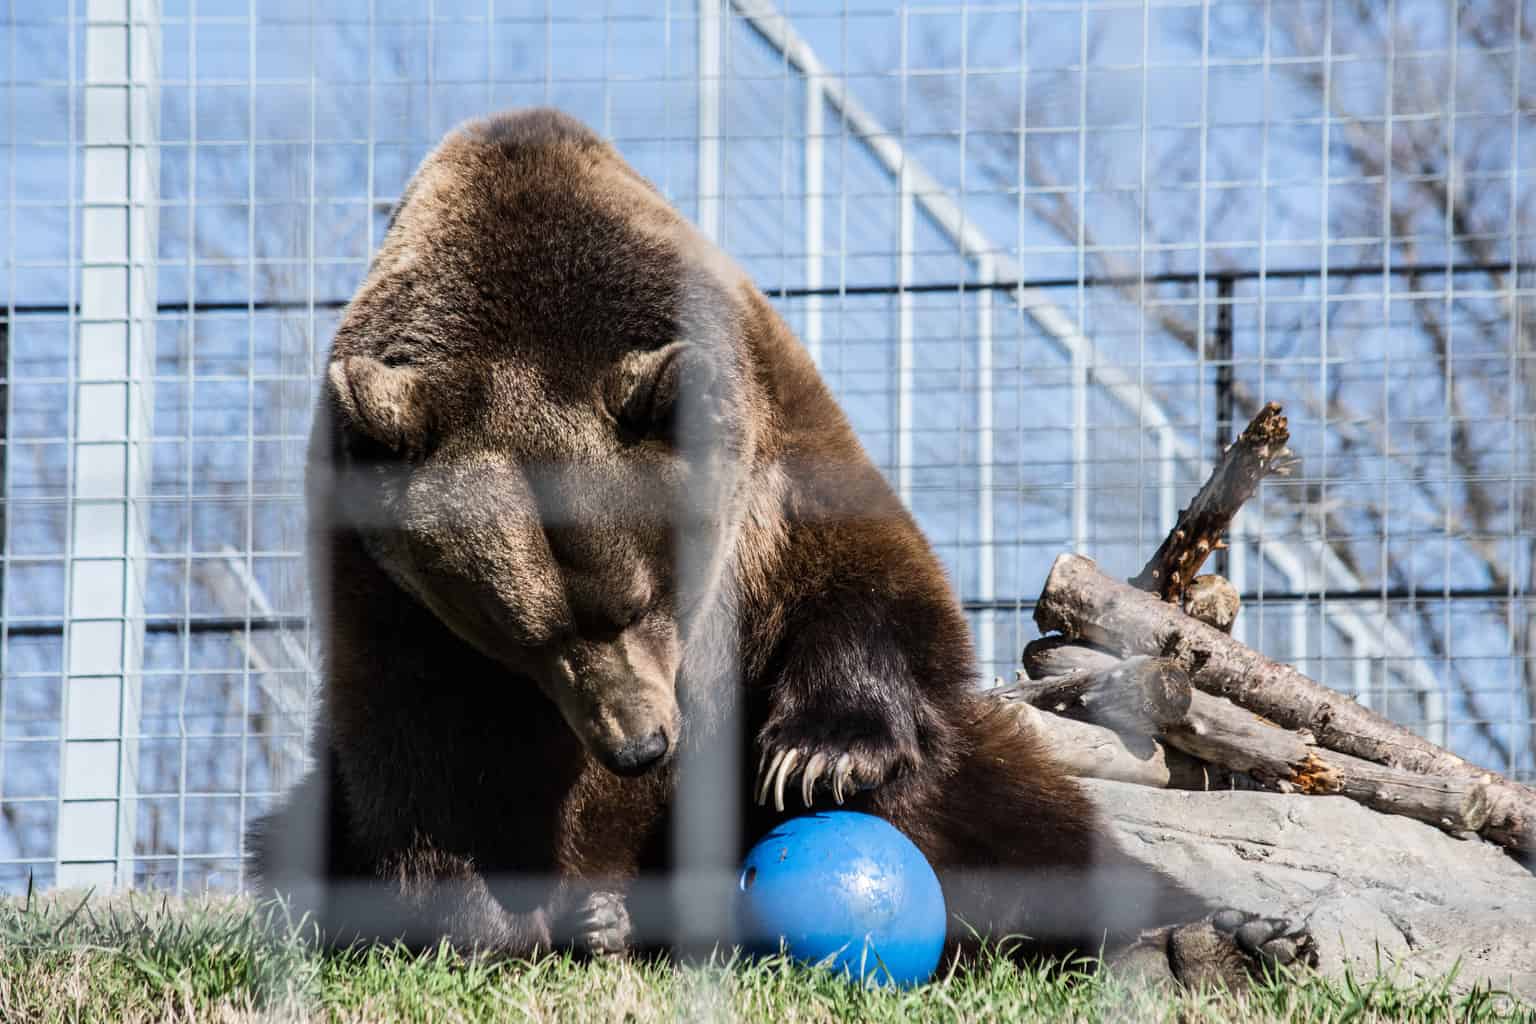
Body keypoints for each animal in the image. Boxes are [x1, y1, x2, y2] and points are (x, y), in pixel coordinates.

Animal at [245, 105, 1314, 982]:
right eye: (523, 635)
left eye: (639, 599)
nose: (641, 748)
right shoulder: (378, 583)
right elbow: (418, 745)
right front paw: (484, 923)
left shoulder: (770, 452)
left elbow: (867, 586)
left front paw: (819, 755)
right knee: (294, 839)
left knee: (1006, 818)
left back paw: (1210, 942)